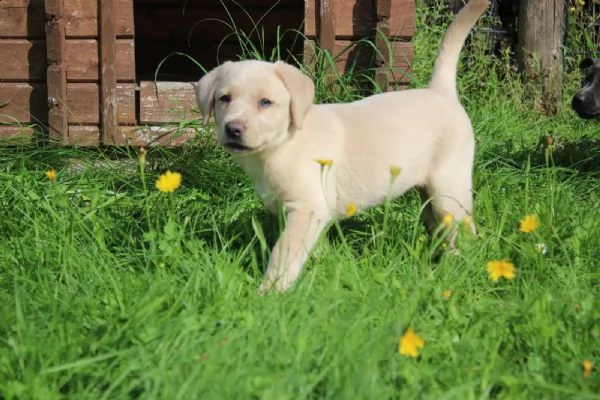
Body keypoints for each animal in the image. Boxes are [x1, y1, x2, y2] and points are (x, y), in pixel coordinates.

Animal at [195, 0, 490, 294]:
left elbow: (284, 252)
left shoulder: (307, 209)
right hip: (430, 193)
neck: (282, 145)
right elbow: (312, 248)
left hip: (449, 190)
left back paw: (458, 264)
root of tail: (440, 92)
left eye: (265, 102)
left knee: (464, 232)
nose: (233, 128)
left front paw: (269, 293)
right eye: (224, 98)